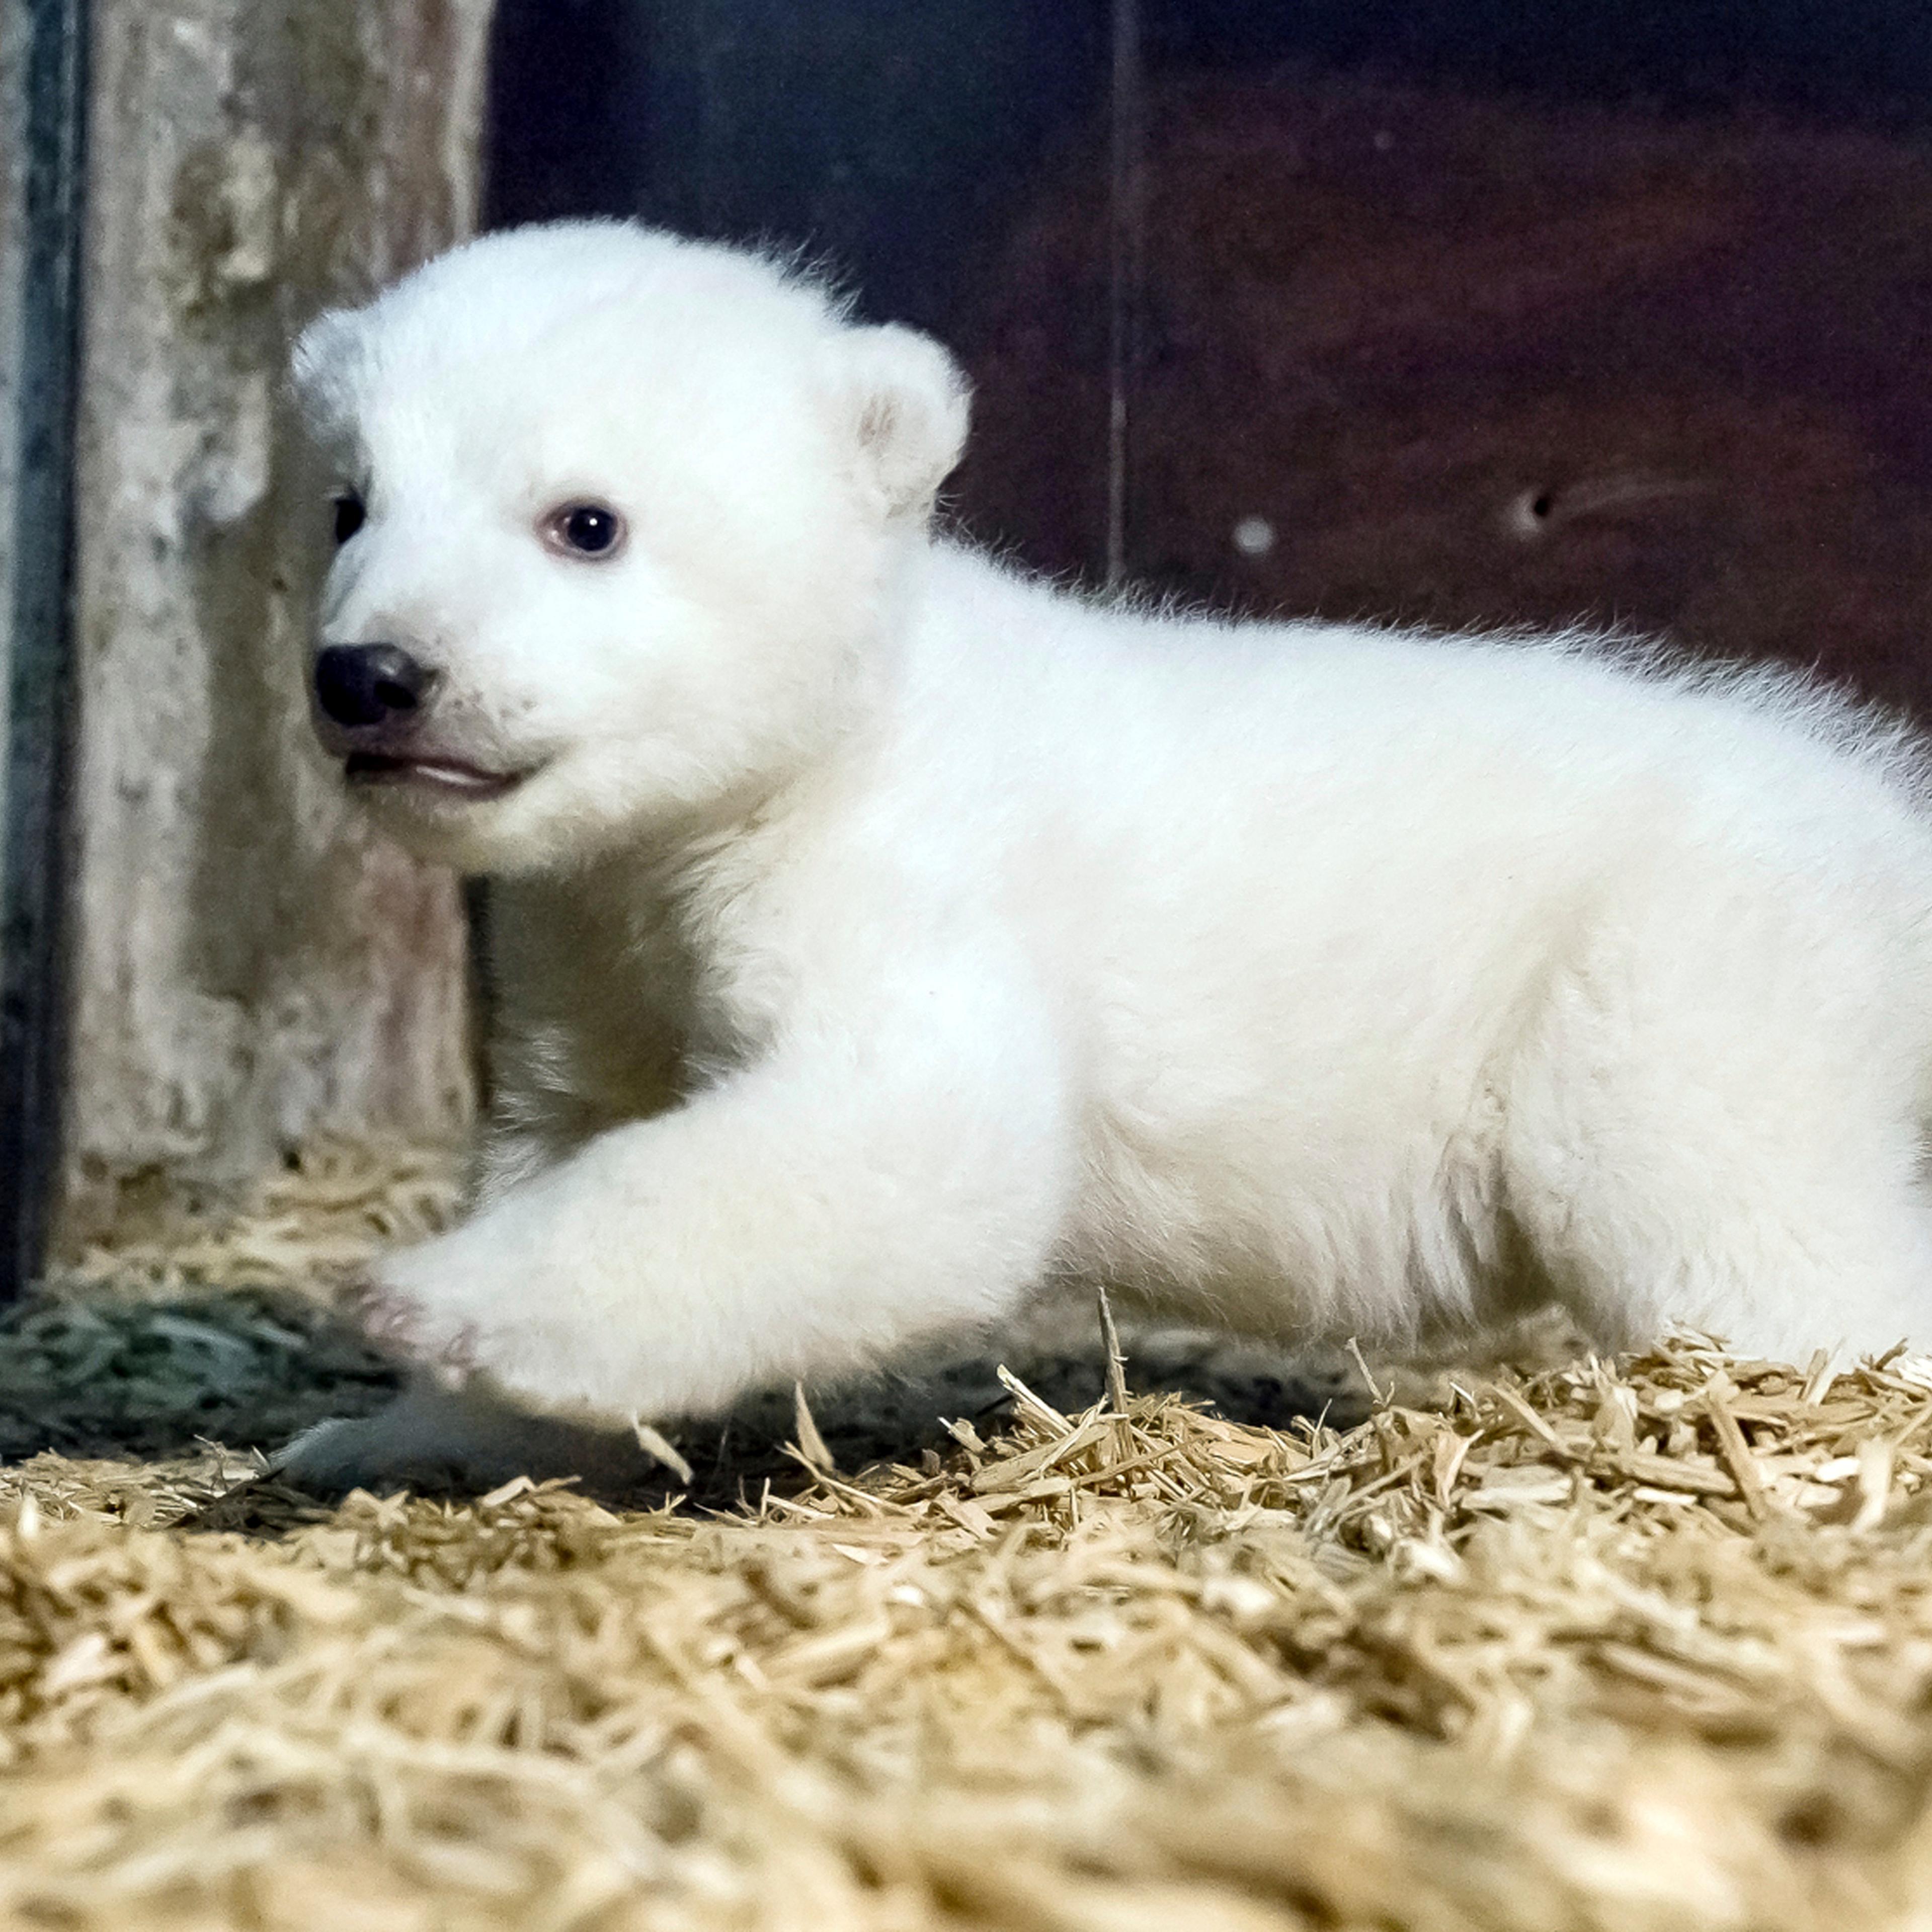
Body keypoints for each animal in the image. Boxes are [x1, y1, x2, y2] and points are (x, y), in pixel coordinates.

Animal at [277, 218, 1932, 1491]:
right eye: (350, 503)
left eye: (585, 521)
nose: (371, 675)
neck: (822, 741)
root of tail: (1886, 818)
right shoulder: (589, 931)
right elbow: (572, 1117)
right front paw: (388, 1432)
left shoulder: (902, 871)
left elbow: (911, 1137)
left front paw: (422, 1295)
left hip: (1679, 969)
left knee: (1726, 1220)